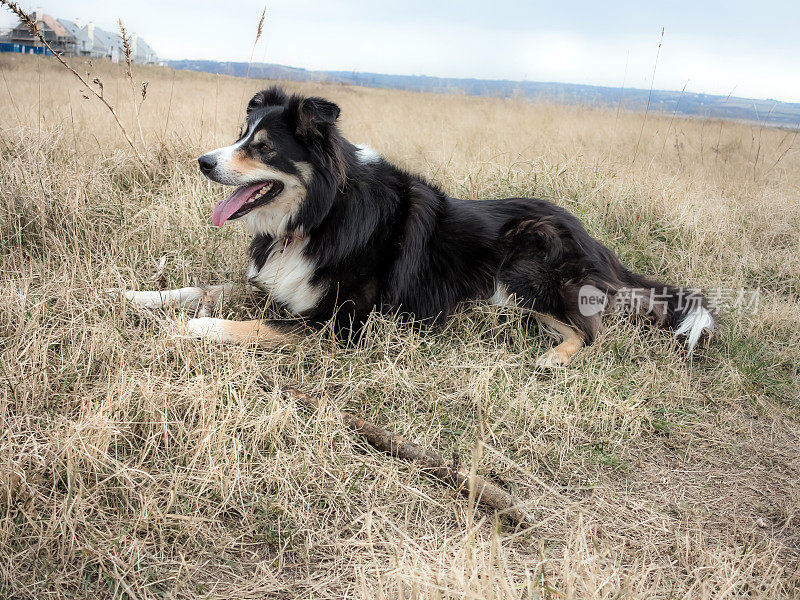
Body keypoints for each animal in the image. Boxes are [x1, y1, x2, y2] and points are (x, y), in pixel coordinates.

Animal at [117, 84, 712, 366]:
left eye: (262, 148)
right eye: (241, 135)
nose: (203, 162)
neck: (320, 215)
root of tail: (598, 245)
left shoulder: (342, 325)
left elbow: (249, 325)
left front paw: (194, 329)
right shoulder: (270, 282)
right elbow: (202, 288)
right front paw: (137, 297)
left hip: (526, 261)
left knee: (588, 333)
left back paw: (550, 358)